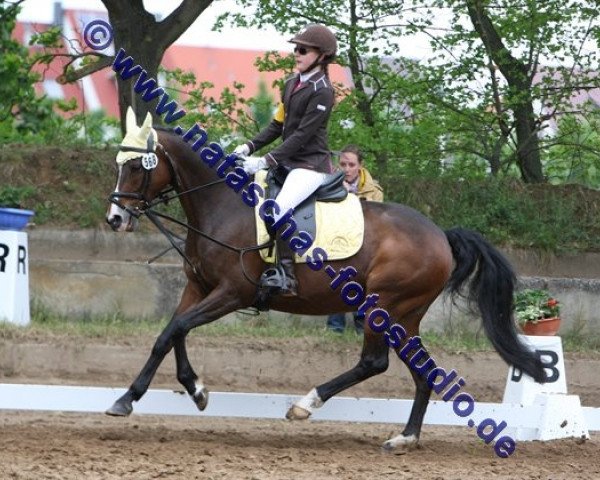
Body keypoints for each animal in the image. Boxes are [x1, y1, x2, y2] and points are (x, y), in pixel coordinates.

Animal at [105, 111, 548, 450]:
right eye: (118, 165)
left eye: (135, 167)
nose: (115, 219)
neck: (221, 206)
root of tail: (441, 235)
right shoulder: (197, 287)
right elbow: (171, 333)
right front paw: (183, 390)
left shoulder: (232, 293)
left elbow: (176, 328)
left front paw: (139, 397)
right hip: (405, 316)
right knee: (424, 371)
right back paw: (405, 437)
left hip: (383, 306)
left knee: (374, 362)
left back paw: (306, 403)